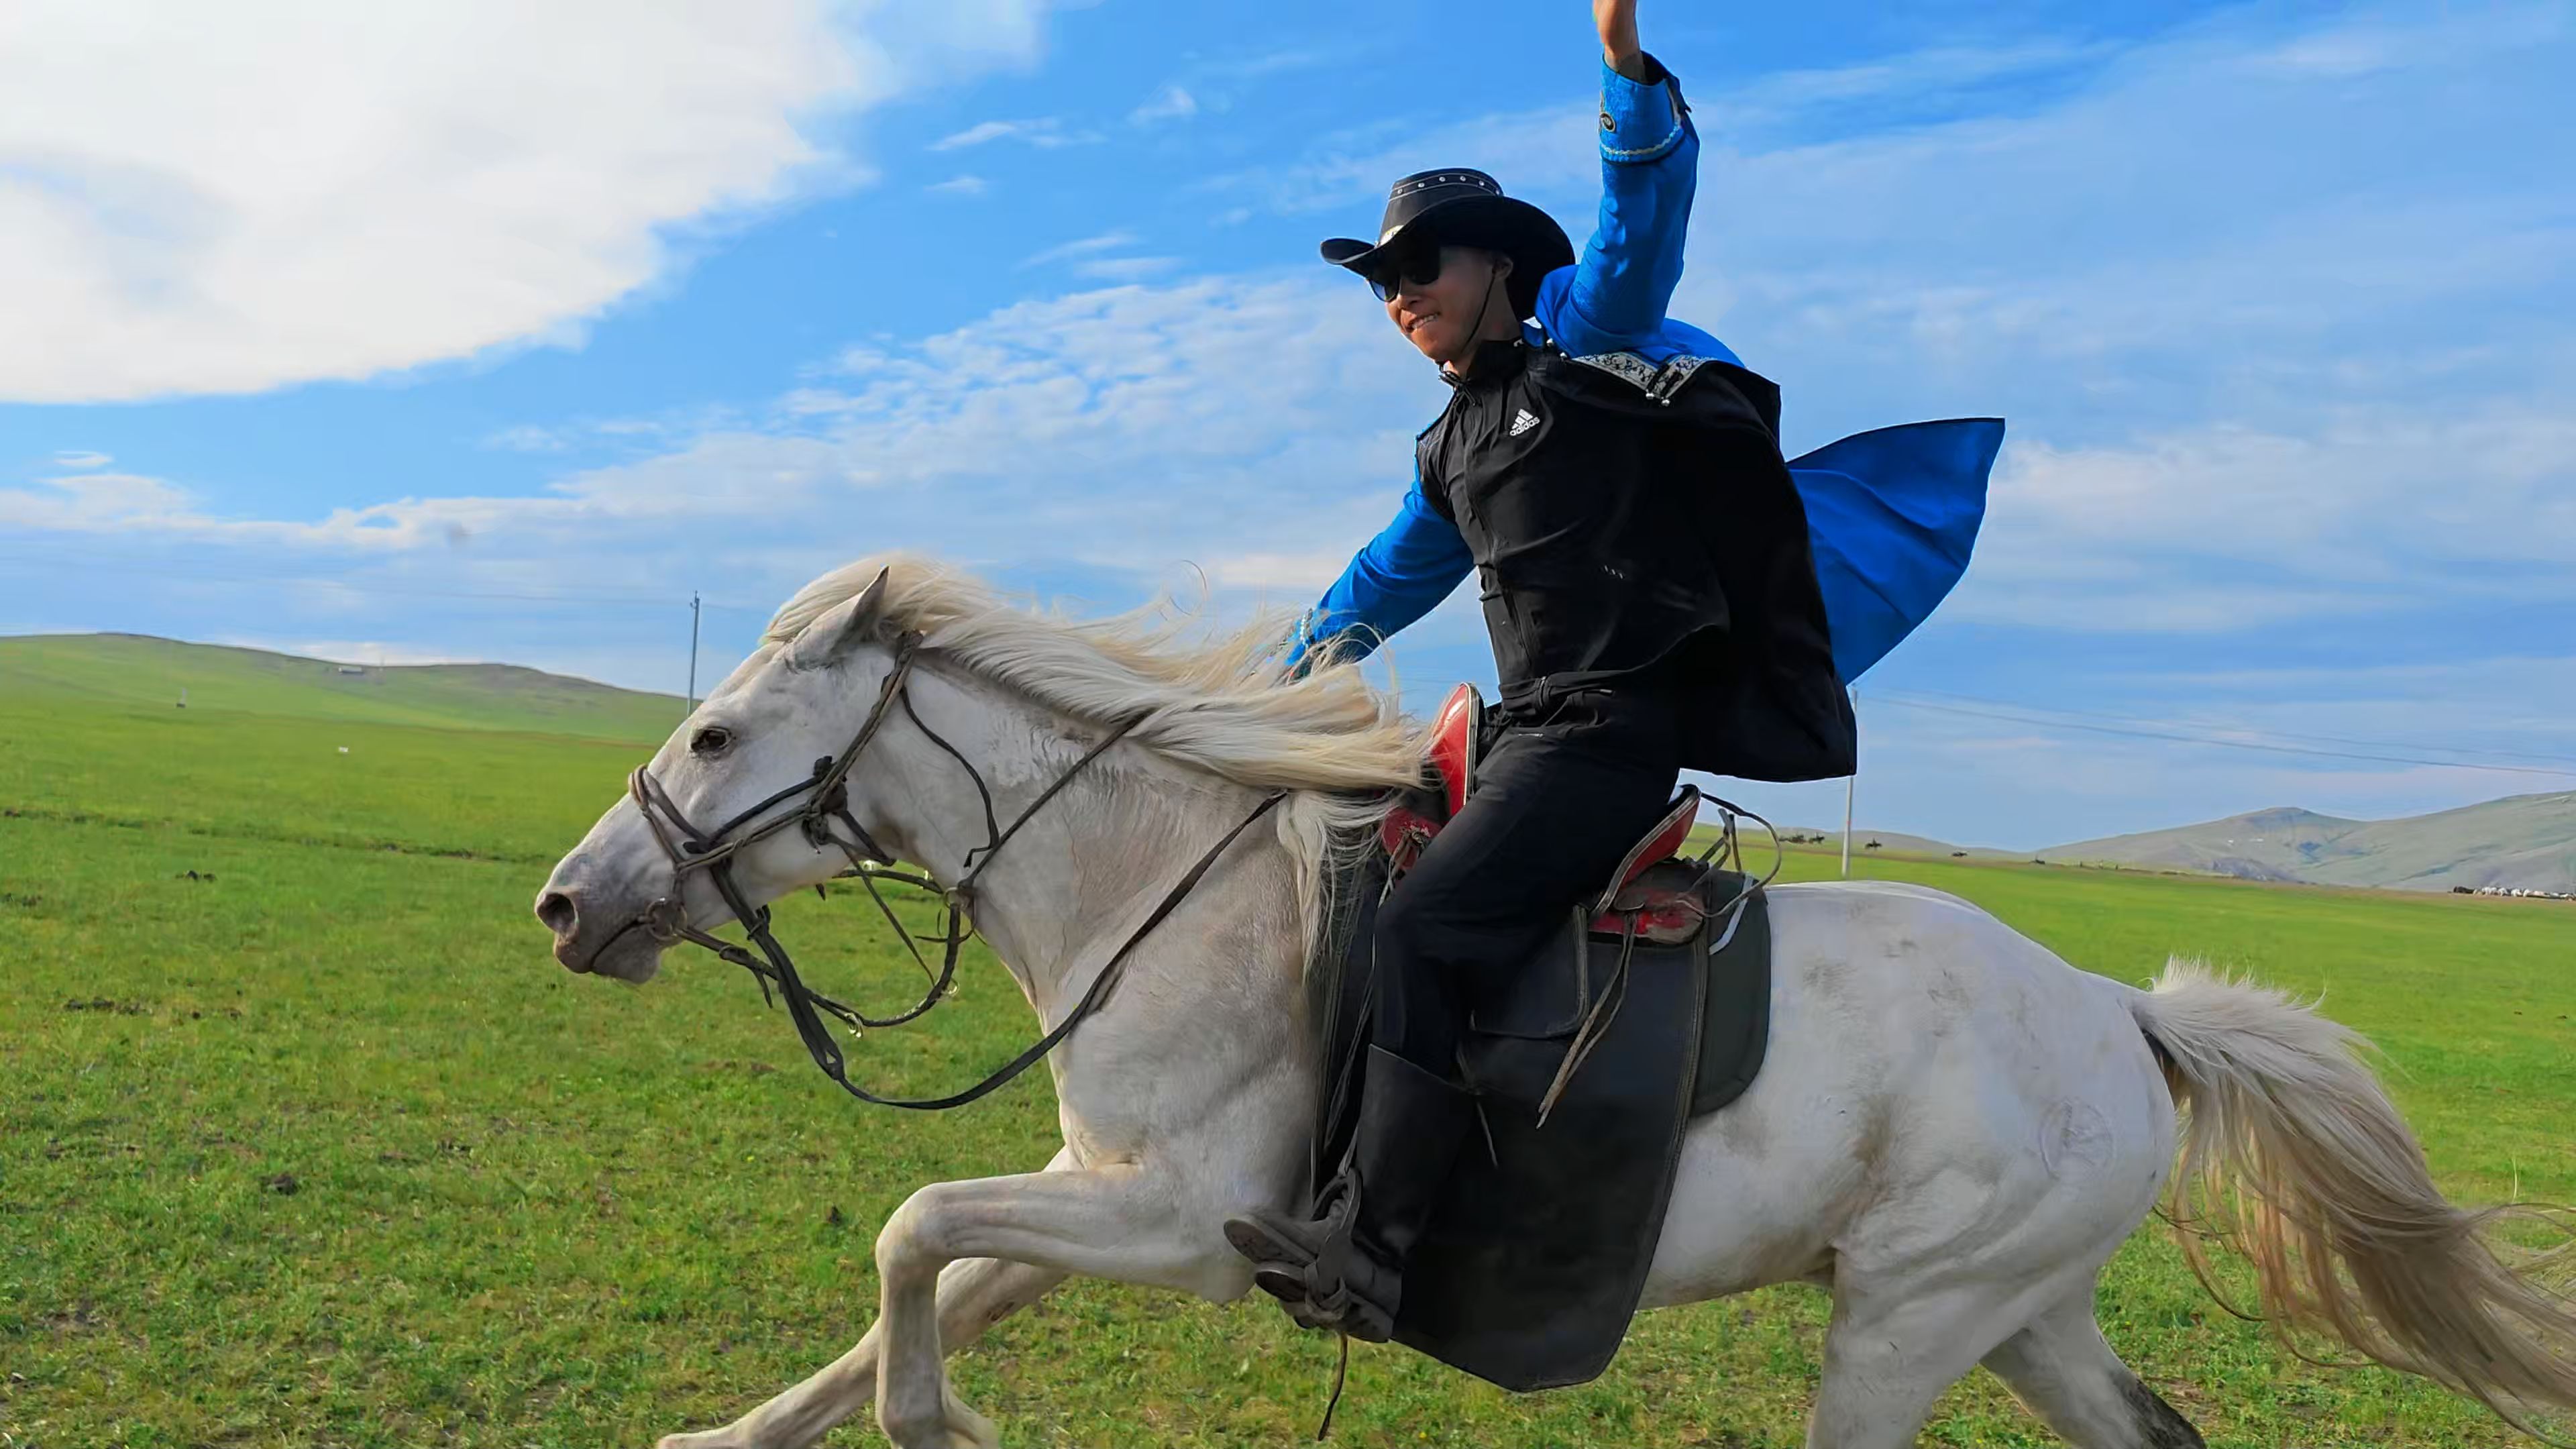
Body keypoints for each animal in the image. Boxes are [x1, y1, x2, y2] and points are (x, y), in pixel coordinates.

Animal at [533, 546, 2565, 1433]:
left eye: (712, 733)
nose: (567, 902)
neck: (1162, 884)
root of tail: (2124, 1019)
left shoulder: (1188, 1222)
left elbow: (906, 1229)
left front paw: (931, 1425)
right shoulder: (1095, 1193)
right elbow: (928, 1276)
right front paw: (754, 1431)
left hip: (1909, 1325)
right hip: (2022, 1313)